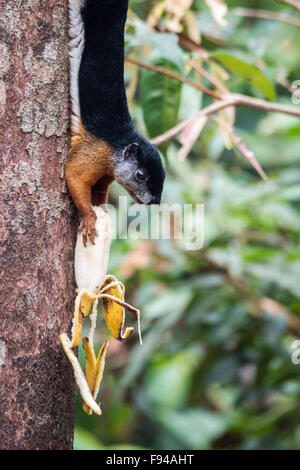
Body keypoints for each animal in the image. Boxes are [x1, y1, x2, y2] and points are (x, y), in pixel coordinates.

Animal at [65, 1, 166, 246]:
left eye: (164, 174)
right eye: (140, 175)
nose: (154, 202)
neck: (118, 142)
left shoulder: (107, 173)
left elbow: (99, 191)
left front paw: (100, 208)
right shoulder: (94, 151)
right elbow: (73, 175)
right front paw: (89, 219)